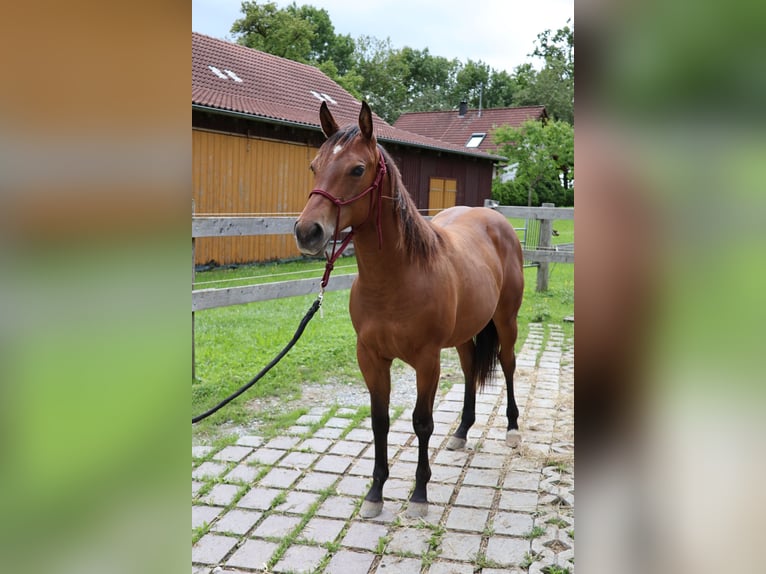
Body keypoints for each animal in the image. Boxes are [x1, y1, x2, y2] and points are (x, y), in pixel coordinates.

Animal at [294, 101, 524, 519]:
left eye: (357, 169)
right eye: (314, 166)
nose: (307, 232)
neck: (398, 278)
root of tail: (495, 218)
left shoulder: (426, 360)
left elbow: (422, 423)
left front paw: (419, 494)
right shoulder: (370, 357)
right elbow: (380, 422)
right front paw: (376, 492)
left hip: (506, 320)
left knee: (508, 363)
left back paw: (513, 430)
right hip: (465, 333)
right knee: (470, 369)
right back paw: (462, 432)